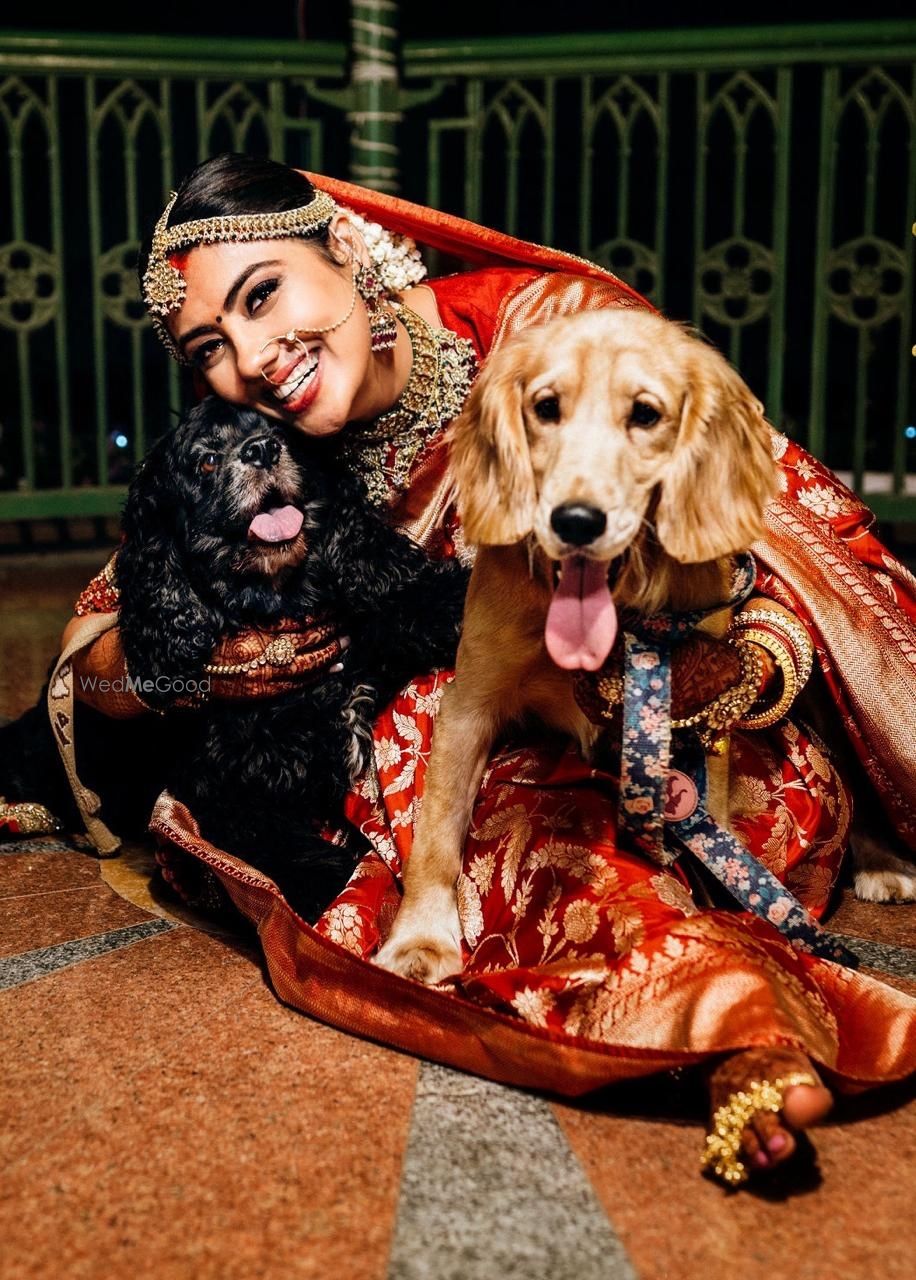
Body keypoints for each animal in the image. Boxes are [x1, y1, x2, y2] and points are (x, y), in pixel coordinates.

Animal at [0, 399, 468, 921]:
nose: (262, 450)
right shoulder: (228, 790)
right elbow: (285, 845)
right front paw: (341, 890)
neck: (277, 605)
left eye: (283, 434)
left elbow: (399, 614)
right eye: (205, 462)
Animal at [371, 307, 777, 977]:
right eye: (546, 407)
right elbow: (436, 832)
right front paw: (421, 938)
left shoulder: (703, 724)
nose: (577, 521)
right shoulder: (470, 700)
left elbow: (711, 825)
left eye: (645, 414)